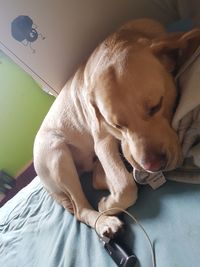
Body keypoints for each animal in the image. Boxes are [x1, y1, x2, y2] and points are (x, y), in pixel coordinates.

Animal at [33, 18, 199, 237]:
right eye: (117, 125)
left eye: (156, 106)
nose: (153, 165)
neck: (116, 41)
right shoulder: (102, 140)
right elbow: (125, 186)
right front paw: (108, 205)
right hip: (57, 156)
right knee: (80, 208)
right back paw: (103, 222)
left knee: (95, 179)